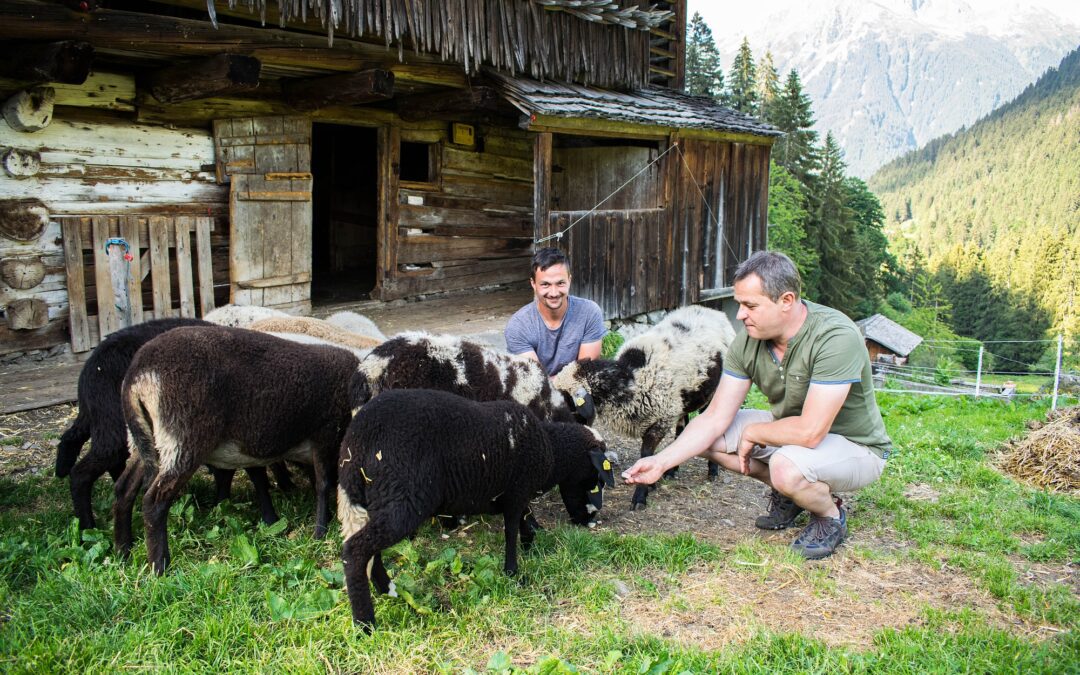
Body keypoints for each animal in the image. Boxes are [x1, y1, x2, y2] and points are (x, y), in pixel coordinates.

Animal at [53, 317, 293, 529]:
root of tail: (89, 371)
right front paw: (271, 514)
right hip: (115, 426)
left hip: (111, 424)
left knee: (84, 448)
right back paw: (87, 527)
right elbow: (255, 472)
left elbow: (231, 472)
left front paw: (222, 504)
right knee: (82, 473)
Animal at [114, 326, 358, 574]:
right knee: (154, 501)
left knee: (124, 489)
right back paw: (160, 566)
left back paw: (123, 551)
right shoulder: (326, 431)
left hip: (145, 439)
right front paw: (320, 531)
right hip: (183, 438)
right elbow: (323, 484)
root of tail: (137, 373)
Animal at [334, 386, 617, 630]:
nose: (590, 519)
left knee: (370, 549)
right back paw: (365, 623)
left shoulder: (517, 494)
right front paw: (513, 571)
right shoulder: (516, 492)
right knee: (355, 550)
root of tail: (357, 441)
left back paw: (387, 590)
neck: (551, 448)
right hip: (403, 500)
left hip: (375, 500)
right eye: (595, 478)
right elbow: (511, 530)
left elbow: (524, 519)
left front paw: (530, 543)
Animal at [552, 304, 738, 505]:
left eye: (566, 399)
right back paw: (672, 471)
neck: (630, 379)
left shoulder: (661, 420)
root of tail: (711, 310)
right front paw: (652, 485)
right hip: (683, 402)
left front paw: (641, 495)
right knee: (681, 429)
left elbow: (646, 453)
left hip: (712, 393)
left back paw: (713, 471)